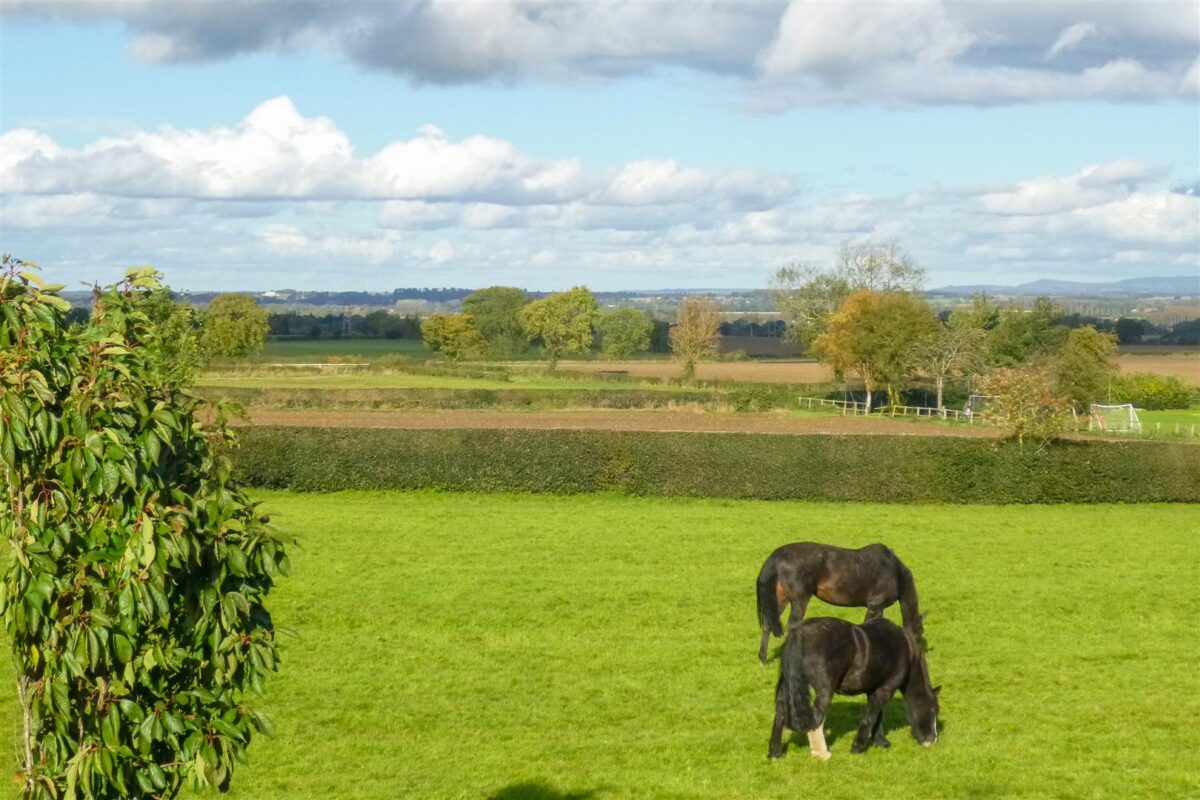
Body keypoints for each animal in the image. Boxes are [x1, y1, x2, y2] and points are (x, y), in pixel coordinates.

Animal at [753, 542, 921, 666]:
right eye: (918, 636)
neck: (894, 572)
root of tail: (777, 556)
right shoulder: (875, 606)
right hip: (799, 600)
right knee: (792, 625)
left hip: (780, 598)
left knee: (767, 625)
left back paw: (763, 659)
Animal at [768, 618, 936, 762]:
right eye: (934, 711)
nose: (933, 740)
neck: (904, 648)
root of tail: (799, 632)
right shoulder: (885, 690)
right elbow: (870, 718)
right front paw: (858, 747)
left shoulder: (875, 690)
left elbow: (877, 716)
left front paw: (880, 742)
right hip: (824, 692)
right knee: (815, 719)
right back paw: (822, 754)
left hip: (786, 686)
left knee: (780, 716)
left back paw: (775, 754)